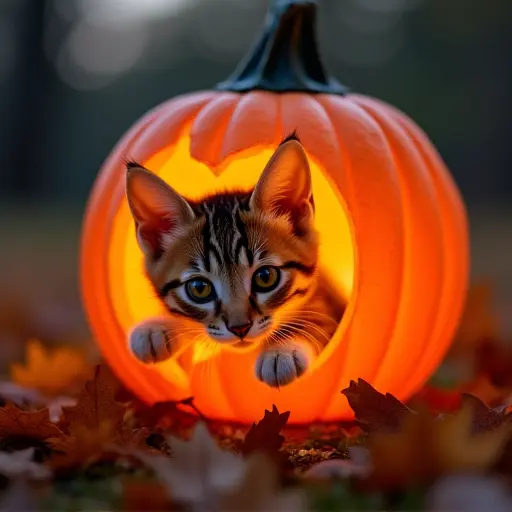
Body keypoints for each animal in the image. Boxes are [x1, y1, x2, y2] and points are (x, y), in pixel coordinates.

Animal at [126, 134, 346, 386]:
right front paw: (157, 328)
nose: (240, 327)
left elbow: (317, 318)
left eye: (265, 277)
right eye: (199, 288)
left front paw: (281, 352)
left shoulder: (331, 304)